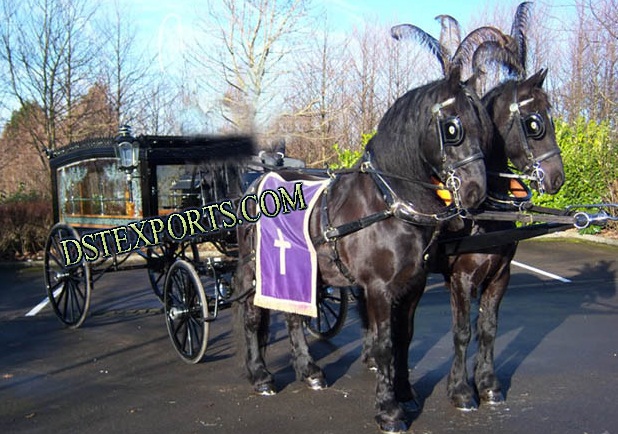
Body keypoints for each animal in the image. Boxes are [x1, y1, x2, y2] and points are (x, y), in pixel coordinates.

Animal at [233, 66, 488, 432]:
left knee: (294, 316)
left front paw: (405, 393)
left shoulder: (412, 286)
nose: (475, 192)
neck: (387, 202)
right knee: (253, 318)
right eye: (452, 128)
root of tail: (259, 180)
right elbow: (383, 344)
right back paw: (261, 376)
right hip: (256, 268)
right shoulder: (378, 288)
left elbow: (403, 338)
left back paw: (309, 371)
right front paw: (389, 410)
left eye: (483, 125)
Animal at [390, 1, 564, 412]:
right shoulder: (461, 278)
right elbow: (462, 331)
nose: (557, 177)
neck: (487, 212)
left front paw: (488, 384)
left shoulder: (500, 275)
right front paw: (460, 390)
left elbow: (488, 328)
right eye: (534, 123)